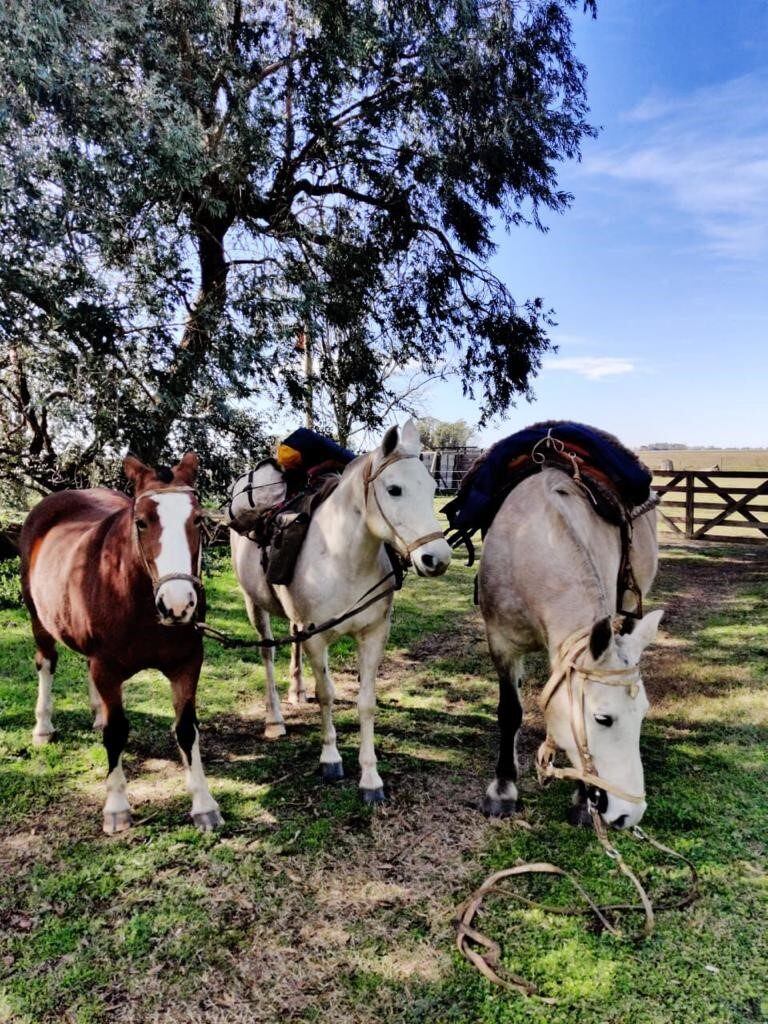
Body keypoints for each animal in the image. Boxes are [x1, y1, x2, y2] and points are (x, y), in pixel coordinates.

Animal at [18, 454, 225, 831]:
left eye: (199, 520)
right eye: (141, 522)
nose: (177, 604)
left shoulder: (188, 663)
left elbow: (186, 729)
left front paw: (204, 805)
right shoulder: (108, 666)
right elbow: (116, 733)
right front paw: (116, 808)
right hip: (38, 618)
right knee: (46, 664)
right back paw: (43, 727)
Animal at [231, 421, 454, 798]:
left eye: (432, 489)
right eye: (394, 490)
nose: (436, 558)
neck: (342, 559)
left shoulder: (373, 634)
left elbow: (366, 702)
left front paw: (370, 778)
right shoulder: (316, 638)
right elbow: (327, 694)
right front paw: (331, 759)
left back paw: (297, 691)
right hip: (254, 605)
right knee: (267, 655)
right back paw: (274, 719)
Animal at [479, 468, 663, 827]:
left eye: (643, 712)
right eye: (603, 718)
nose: (629, 814)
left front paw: (581, 801)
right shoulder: (502, 643)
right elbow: (510, 712)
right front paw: (503, 790)